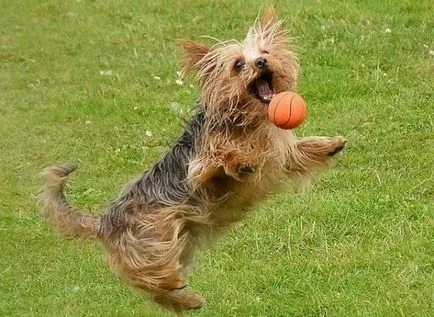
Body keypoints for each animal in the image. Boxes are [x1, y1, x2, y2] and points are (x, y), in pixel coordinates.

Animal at [40, 6, 346, 314]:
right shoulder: (201, 166)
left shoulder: (280, 154)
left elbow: (300, 152)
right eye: (238, 64)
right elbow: (219, 161)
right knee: (150, 279)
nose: (260, 62)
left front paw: (330, 145)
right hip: (150, 245)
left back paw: (185, 300)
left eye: (266, 51)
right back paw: (183, 294)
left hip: (179, 243)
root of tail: (104, 221)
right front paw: (239, 162)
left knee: (156, 287)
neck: (248, 123)